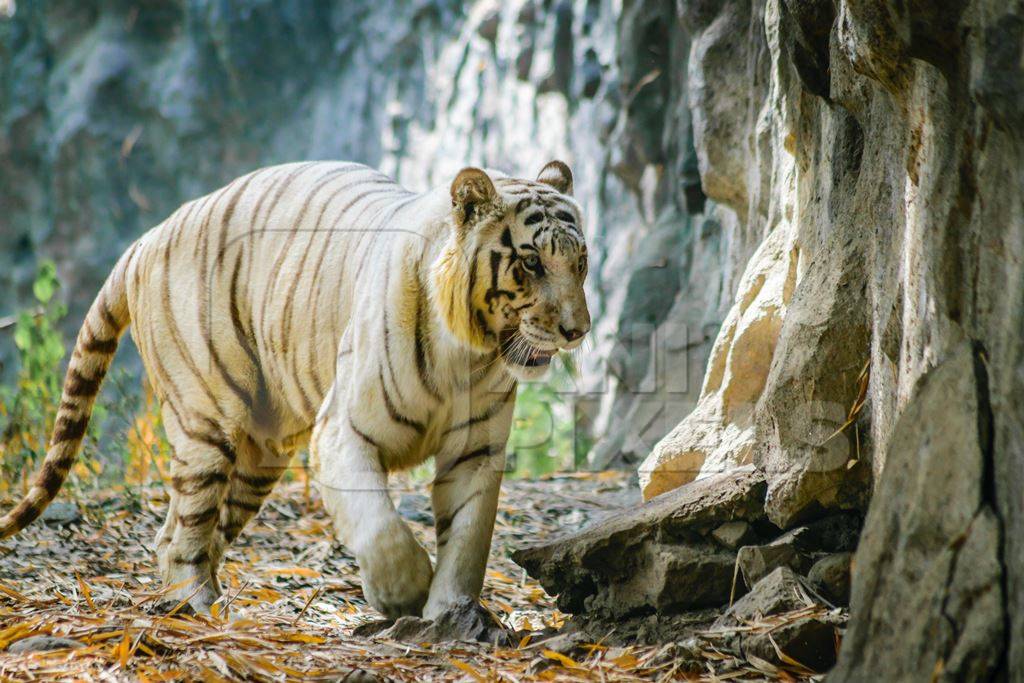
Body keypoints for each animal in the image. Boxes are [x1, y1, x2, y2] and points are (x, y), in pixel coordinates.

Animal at [2, 158, 593, 626]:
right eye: (532, 262)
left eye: (581, 262)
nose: (577, 330)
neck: (467, 354)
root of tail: (151, 234)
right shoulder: (344, 432)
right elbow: (380, 527)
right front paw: (403, 593)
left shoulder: (475, 451)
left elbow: (468, 540)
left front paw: (449, 612)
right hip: (207, 420)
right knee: (183, 530)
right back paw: (198, 606)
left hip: (259, 458)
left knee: (187, 530)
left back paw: (203, 601)